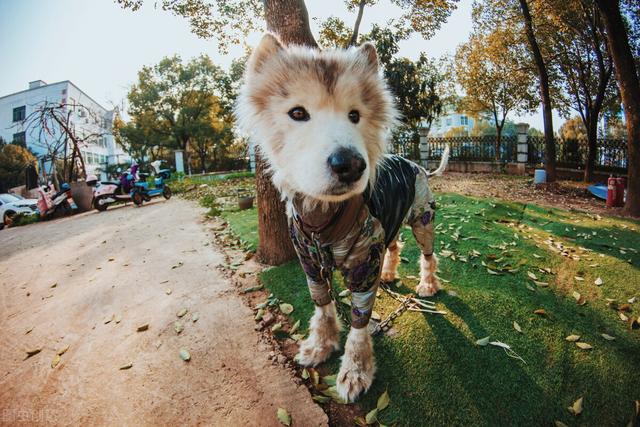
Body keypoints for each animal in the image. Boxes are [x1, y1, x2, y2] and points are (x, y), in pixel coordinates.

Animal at [236, 34, 450, 404]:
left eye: (355, 115)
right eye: (297, 113)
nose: (350, 165)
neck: (323, 218)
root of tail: (414, 163)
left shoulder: (363, 266)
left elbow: (360, 324)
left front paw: (355, 371)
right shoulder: (310, 263)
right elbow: (322, 307)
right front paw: (319, 346)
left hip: (422, 219)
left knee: (428, 255)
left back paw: (427, 285)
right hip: (390, 225)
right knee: (395, 247)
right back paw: (390, 274)